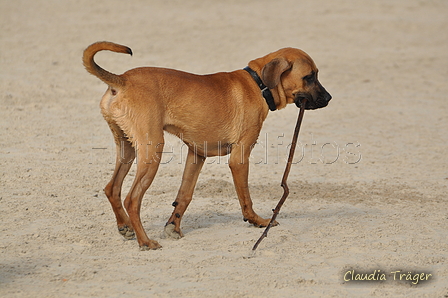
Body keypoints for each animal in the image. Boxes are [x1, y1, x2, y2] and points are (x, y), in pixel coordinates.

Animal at [83, 41, 328, 249]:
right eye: (309, 76)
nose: (329, 98)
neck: (258, 83)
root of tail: (122, 80)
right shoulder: (239, 159)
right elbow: (246, 198)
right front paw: (257, 221)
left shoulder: (196, 155)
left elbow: (184, 195)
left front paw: (173, 226)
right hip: (152, 151)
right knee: (132, 199)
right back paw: (145, 242)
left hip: (128, 149)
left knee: (112, 189)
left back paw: (125, 227)